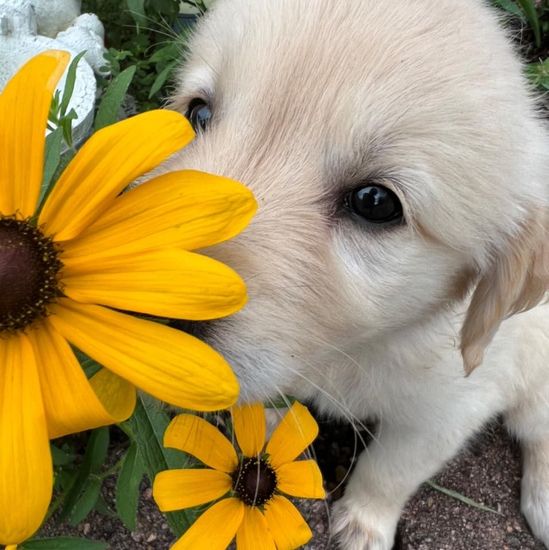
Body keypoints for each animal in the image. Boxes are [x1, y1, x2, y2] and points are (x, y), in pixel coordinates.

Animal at [163, 2, 548, 548]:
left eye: (375, 202)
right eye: (197, 115)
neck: (351, 350)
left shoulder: (447, 410)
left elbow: (390, 469)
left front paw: (363, 524)